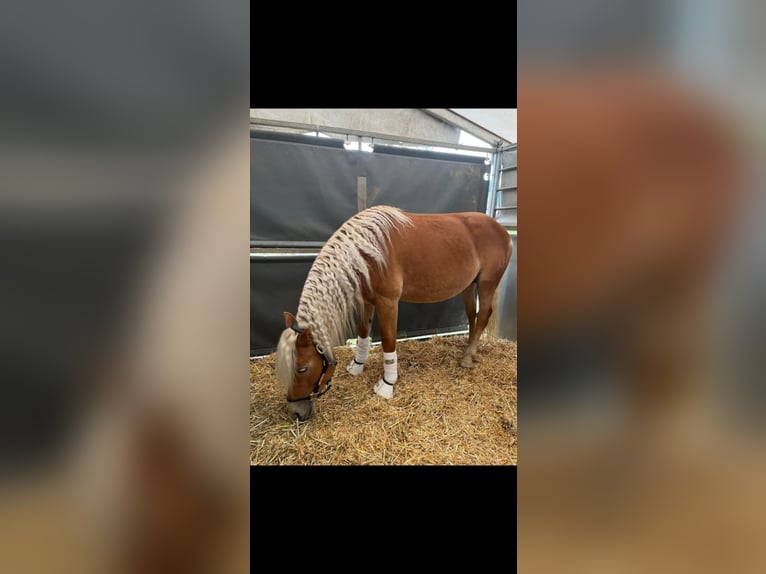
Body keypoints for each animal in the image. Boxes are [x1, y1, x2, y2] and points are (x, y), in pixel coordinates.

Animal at [272, 205, 512, 420]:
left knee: (483, 316)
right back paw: (468, 349)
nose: (296, 412)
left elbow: (388, 342)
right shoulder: (366, 301)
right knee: (472, 316)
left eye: (302, 369)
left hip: (487, 284)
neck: (366, 252)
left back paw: (468, 357)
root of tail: (502, 230)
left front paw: (387, 384)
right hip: (468, 286)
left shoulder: (387, 302)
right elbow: (363, 334)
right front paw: (357, 366)